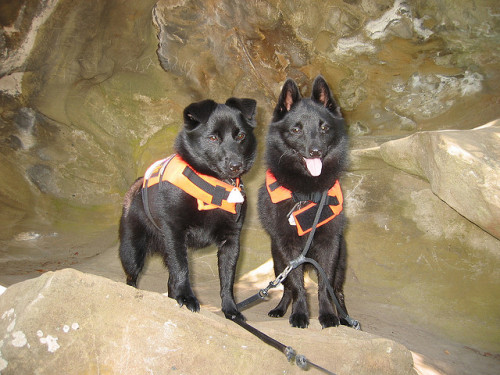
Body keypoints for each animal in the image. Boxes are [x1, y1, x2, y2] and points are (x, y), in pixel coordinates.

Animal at [119, 98, 256, 322]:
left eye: (241, 136)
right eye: (213, 138)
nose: (236, 165)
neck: (213, 185)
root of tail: (136, 185)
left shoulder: (231, 241)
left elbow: (227, 279)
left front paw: (230, 309)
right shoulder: (175, 234)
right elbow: (183, 270)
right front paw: (187, 298)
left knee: (170, 280)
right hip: (132, 251)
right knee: (132, 276)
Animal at [258, 75, 352, 328]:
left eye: (324, 127)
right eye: (296, 129)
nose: (316, 151)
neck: (307, 192)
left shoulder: (330, 245)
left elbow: (325, 287)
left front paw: (328, 315)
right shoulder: (287, 247)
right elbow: (298, 286)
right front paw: (300, 314)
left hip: (341, 263)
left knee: (338, 290)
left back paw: (346, 318)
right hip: (278, 261)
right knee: (287, 287)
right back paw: (280, 309)